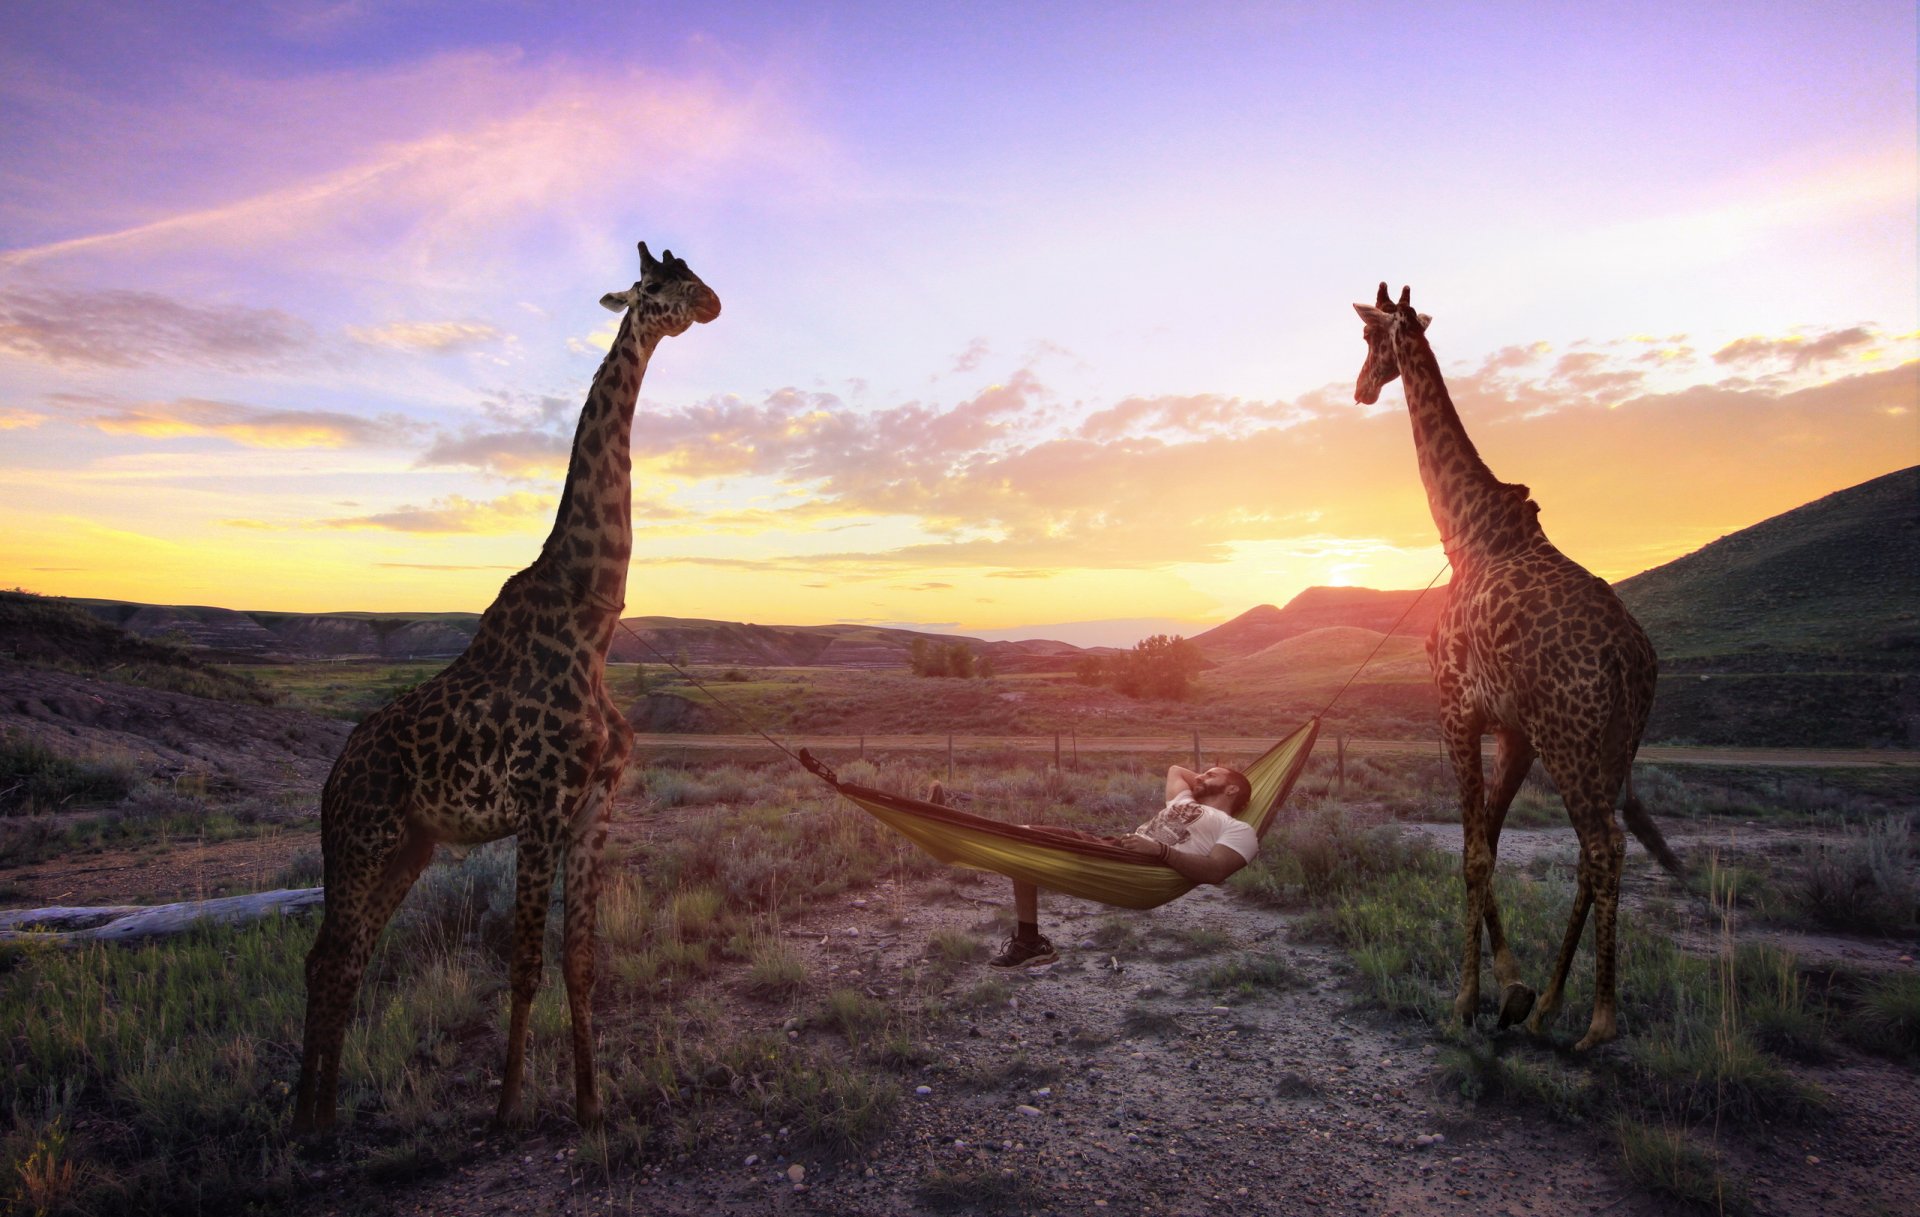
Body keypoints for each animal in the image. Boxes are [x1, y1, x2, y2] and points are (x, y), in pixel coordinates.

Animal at [292, 242, 721, 1133]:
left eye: (692, 269)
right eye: (656, 282)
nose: (712, 302)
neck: (592, 619)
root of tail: (332, 777)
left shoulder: (595, 805)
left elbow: (579, 957)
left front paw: (591, 1102)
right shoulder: (541, 805)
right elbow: (523, 960)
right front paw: (507, 1105)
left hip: (410, 845)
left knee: (342, 954)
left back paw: (322, 1113)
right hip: (365, 836)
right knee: (331, 954)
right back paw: (307, 1119)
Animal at [1352, 283, 1683, 1052]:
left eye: (1370, 339)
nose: (1360, 388)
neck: (1466, 530)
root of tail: (1633, 664)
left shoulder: (1457, 707)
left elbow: (1474, 850)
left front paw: (1469, 1000)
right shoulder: (1514, 728)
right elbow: (1490, 843)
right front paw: (1513, 991)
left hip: (1574, 740)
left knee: (1605, 846)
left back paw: (1599, 1023)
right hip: (1610, 745)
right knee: (1594, 853)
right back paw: (1553, 1007)